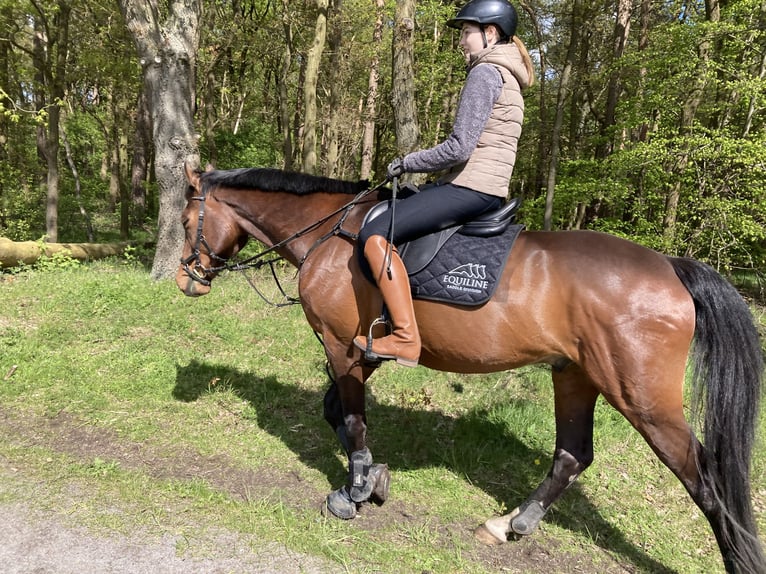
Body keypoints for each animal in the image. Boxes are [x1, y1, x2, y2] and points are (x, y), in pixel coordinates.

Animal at [177, 163, 764, 574]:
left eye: (185, 221)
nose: (187, 280)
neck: (329, 235)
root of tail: (671, 267)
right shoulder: (364, 352)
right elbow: (335, 413)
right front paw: (375, 478)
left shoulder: (342, 346)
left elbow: (352, 418)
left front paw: (355, 490)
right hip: (576, 375)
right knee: (572, 455)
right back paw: (509, 524)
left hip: (642, 397)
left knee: (705, 478)